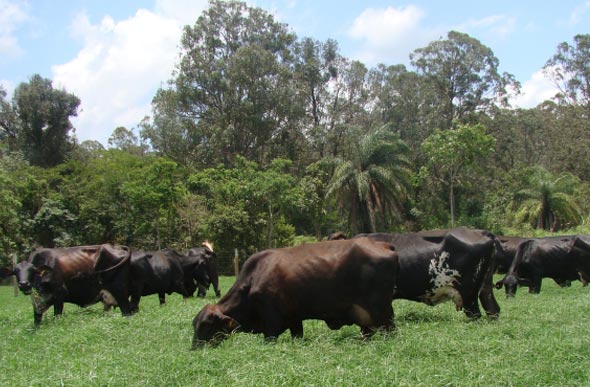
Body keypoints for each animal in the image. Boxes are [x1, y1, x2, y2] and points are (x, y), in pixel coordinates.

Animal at [192, 236, 400, 348]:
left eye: (206, 325)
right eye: (195, 324)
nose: (195, 349)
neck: (251, 281)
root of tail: (383, 245)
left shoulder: (271, 324)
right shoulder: (294, 319)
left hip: (382, 312)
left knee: (391, 332)